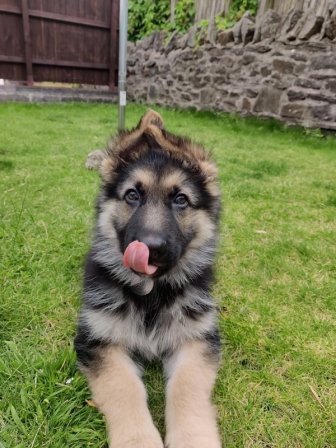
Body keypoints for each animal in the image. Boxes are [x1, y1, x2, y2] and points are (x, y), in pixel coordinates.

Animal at [76, 110, 223, 446]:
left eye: (180, 200)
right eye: (132, 195)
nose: (150, 248)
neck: (152, 294)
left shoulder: (196, 338)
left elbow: (187, 386)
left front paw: (193, 438)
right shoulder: (100, 341)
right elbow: (123, 387)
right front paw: (138, 440)